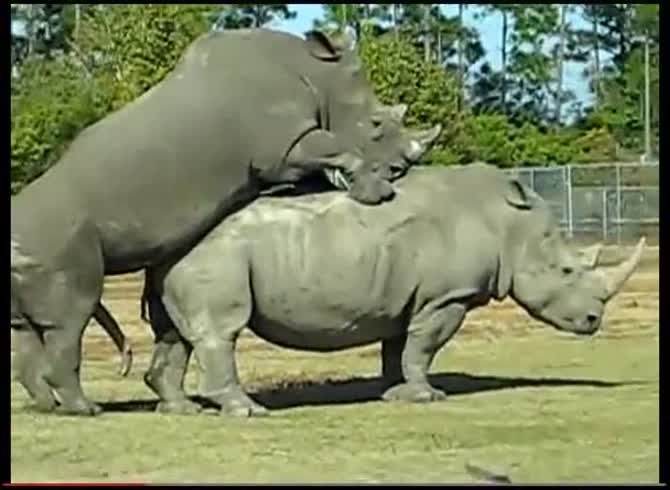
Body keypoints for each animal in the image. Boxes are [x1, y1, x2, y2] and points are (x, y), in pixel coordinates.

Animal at [10, 27, 440, 416]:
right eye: (376, 125)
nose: (399, 169)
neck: (317, 72)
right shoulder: (285, 144)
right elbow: (334, 148)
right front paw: (376, 193)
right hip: (57, 241)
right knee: (71, 317)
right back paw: (85, 409)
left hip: (33, 248)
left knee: (27, 329)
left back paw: (48, 406)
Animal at [138, 163, 646, 416]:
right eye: (566, 270)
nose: (594, 321)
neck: (508, 224)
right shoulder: (448, 296)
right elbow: (423, 348)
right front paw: (426, 398)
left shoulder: (411, 296)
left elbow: (398, 346)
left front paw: (393, 392)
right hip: (214, 253)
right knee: (220, 329)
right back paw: (247, 411)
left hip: (183, 254)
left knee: (176, 333)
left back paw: (179, 410)